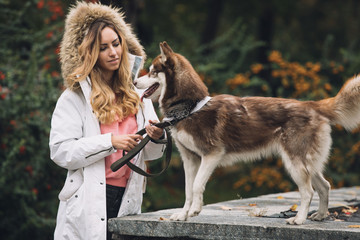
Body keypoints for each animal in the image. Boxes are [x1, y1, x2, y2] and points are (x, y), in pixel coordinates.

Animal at [135, 41, 360, 225]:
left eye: (153, 71)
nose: (135, 82)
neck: (190, 107)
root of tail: (313, 105)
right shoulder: (190, 159)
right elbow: (188, 191)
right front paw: (183, 215)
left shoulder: (211, 155)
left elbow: (198, 185)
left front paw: (195, 210)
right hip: (307, 164)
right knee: (325, 186)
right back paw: (320, 215)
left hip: (294, 163)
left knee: (308, 191)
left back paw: (299, 219)